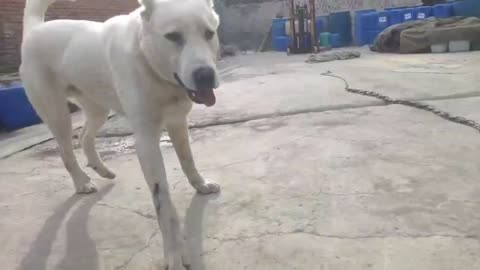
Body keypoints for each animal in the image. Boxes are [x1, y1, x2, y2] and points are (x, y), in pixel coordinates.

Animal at [19, 0, 220, 268]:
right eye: (173, 37)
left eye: (209, 33)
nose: (205, 75)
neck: (149, 64)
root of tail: (35, 29)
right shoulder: (146, 142)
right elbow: (163, 205)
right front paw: (174, 254)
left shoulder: (177, 122)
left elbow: (188, 161)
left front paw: (201, 184)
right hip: (57, 113)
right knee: (66, 151)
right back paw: (81, 182)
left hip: (97, 108)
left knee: (84, 137)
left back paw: (101, 169)